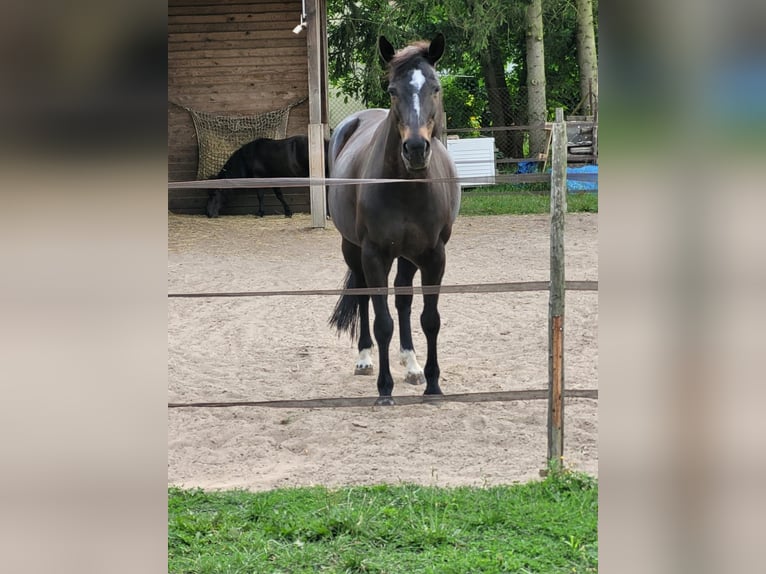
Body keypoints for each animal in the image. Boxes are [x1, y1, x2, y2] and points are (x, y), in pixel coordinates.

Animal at [330, 33, 462, 408]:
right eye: (392, 90)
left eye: (435, 87)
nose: (416, 149)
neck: (407, 186)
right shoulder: (374, 254)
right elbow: (382, 322)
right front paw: (384, 389)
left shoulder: (434, 256)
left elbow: (429, 319)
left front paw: (433, 384)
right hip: (352, 249)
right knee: (363, 296)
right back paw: (364, 359)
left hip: (408, 256)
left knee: (404, 299)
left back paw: (412, 364)